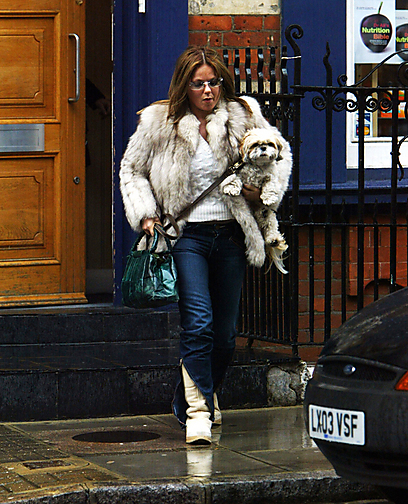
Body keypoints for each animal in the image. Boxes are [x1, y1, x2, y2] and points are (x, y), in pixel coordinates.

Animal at [221, 128, 292, 273]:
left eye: (270, 144)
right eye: (255, 144)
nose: (263, 147)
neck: (258, 166)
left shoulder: (271, 176)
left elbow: (270, 184)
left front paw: (268, 197)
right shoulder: (239, 172)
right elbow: (235, 179)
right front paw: (231, 187)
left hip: (267, 215)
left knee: (270, 226)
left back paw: (273, 239)